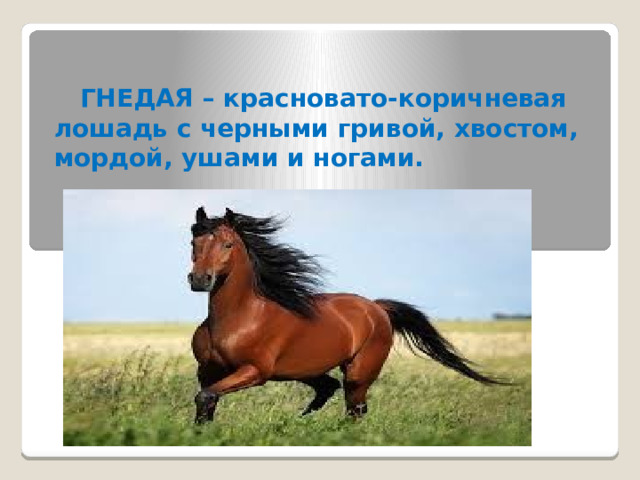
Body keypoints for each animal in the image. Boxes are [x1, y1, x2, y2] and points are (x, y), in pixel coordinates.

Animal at [188, 207, 506, 424]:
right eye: (194, 243)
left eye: (228, 244)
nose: (200, 280)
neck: (238, 318)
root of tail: (376, 308)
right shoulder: (208, 371)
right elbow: (207, 403)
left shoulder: (255, 371)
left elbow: (206, 397)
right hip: (310, 370)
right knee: (331, 388)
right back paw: (307, 416)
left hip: (359, 373)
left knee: (355, 407)